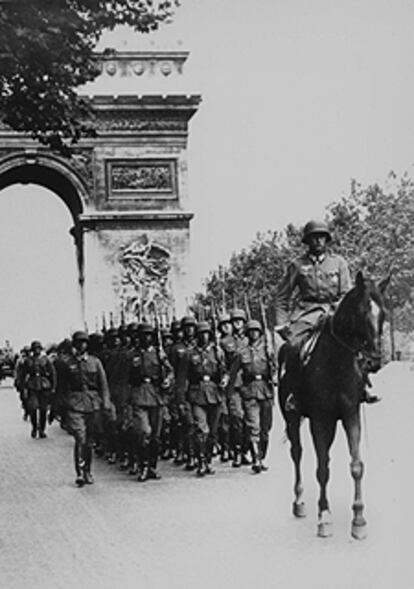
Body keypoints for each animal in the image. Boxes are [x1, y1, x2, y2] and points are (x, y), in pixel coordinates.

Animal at [278, 272, 388, 536]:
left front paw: (358, 520)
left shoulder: (350, 414)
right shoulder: (320, 420)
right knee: (297, 453)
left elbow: (356, 465)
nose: (374, 361)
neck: (336, 360)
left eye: (383, 314)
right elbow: (322, 469)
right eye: (360, 312)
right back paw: (299, 502)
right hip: (291, 418)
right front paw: (324, 517)